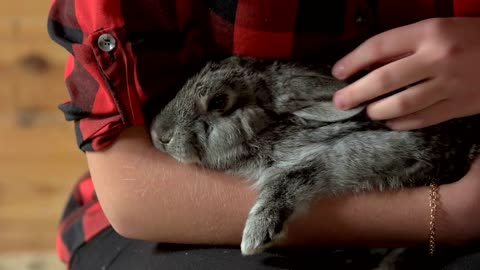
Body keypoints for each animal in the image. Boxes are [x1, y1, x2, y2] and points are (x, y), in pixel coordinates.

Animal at [148, 56, 478, 256]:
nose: (159, 135)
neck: (274, 127)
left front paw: (255, 236)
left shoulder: (375, 151)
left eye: (218, 102)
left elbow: (295, 175)